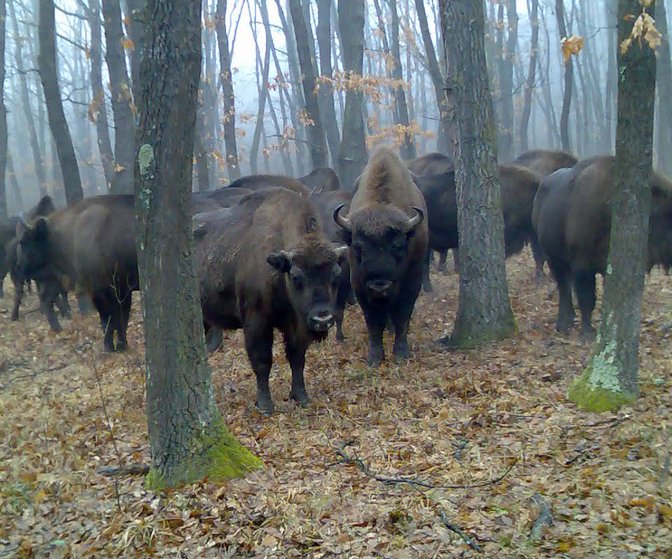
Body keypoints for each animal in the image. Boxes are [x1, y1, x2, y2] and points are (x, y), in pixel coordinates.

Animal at [192, 188, 344, 416]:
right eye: (296, 277)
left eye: (336, 275)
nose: (323, 319)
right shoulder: (257, 322)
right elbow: (262, 360)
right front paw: (265, 405)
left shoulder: (295, 325)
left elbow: (297, 357)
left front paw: (301, 396)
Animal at [334, 147, 428, 370]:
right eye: (358, 246)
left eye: (398, 245)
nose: (379, 286)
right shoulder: (359, 284)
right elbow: (373, 321)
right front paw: (375, 357)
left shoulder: (412, 280)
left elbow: (403, 314)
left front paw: (401, 353)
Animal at [532, 156, 672, 342]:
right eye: (669, 215)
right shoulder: (582, 266)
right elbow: (586, 298)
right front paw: (587, 333)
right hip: (554, 259)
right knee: (563, 287)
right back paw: (563, 324)